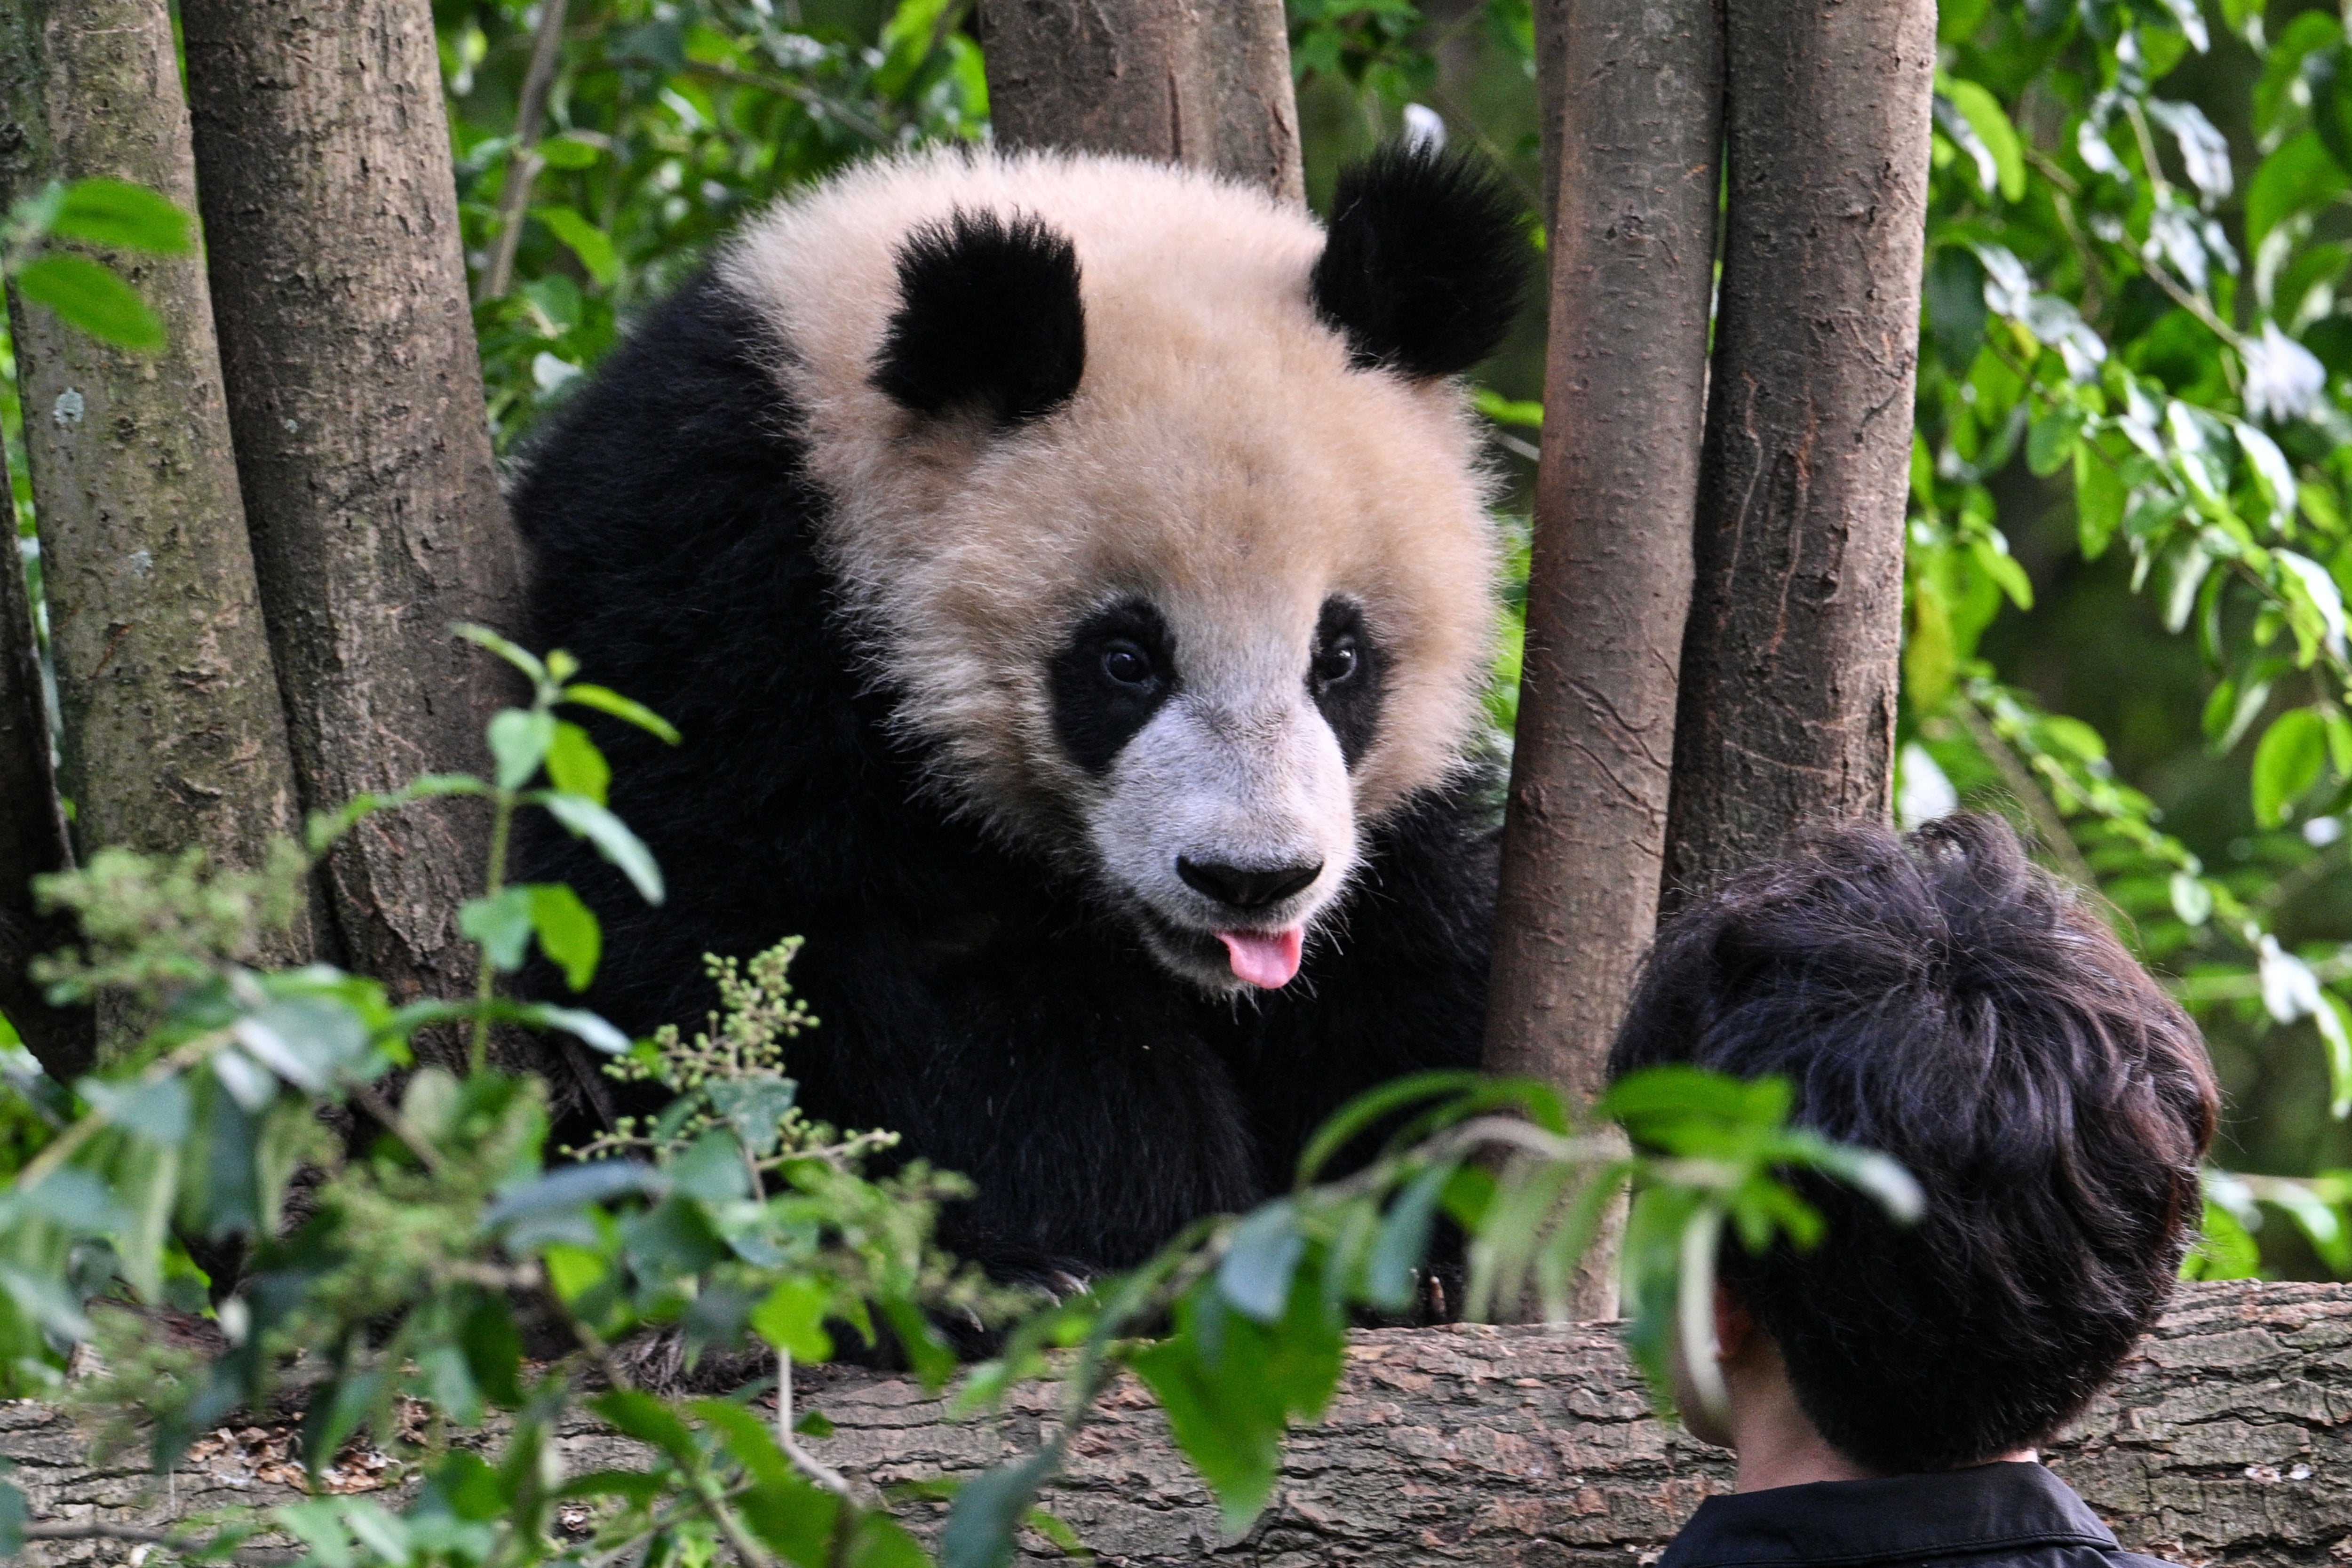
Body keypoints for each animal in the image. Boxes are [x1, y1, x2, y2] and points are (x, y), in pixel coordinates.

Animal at [512, 142, 1526, 1286]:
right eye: (1125, 661)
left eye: (1339, 658)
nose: (1251, 880)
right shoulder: (700, 589)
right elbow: (731, 955)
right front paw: (1069, 1239)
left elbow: (1404, 968)